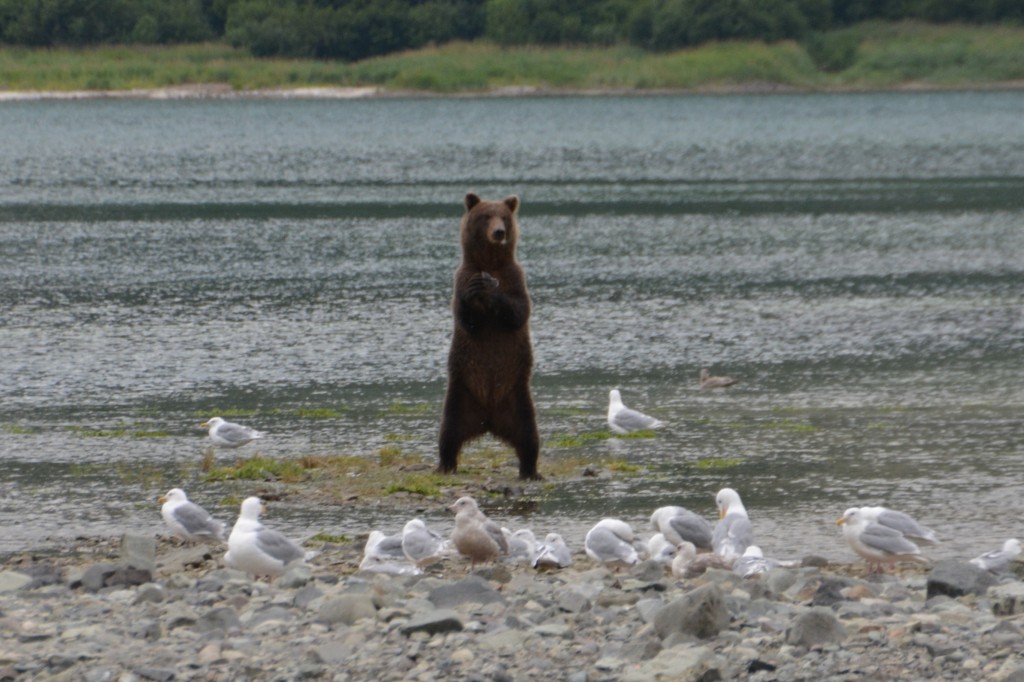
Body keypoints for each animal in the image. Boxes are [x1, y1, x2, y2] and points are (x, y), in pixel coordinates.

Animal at [436, 191, 540, 477]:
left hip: (518, 397)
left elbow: (518, 312)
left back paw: (531, 470)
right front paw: (475, 293)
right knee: (448, 432)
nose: (499, 232)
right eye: (485, 216)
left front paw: (492, 292)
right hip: (460, 395)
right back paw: (445, 464)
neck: (490, 263)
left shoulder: (516, 279)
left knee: (529, 435)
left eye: (503, 217)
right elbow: (467, 320)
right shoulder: (461, 278)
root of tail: (489, 419)